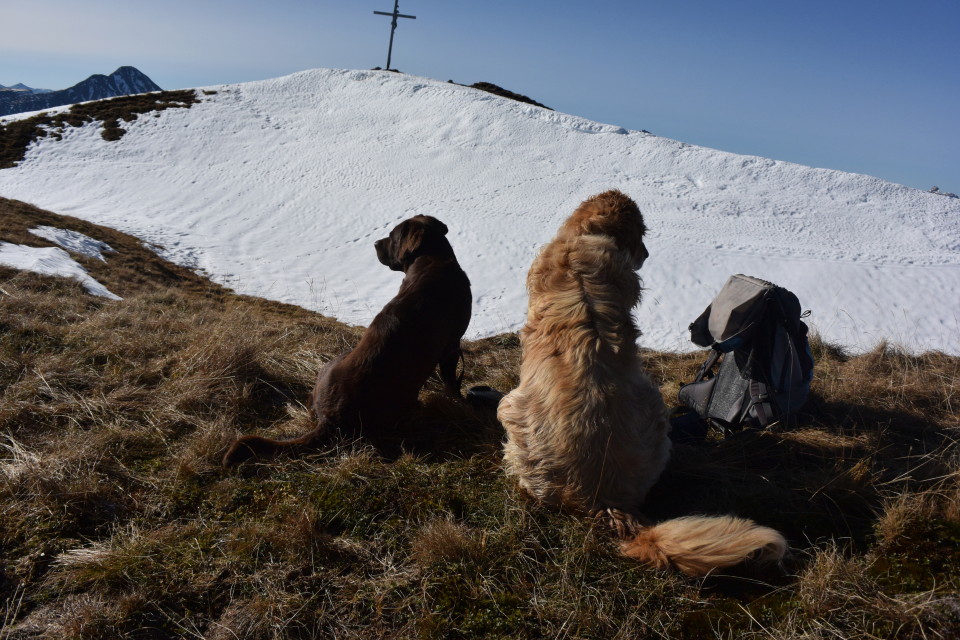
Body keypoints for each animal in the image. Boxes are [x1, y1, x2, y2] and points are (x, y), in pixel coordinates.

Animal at [221, 216, 468, 464]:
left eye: (391, 236)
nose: (375, 243)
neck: (433, 260)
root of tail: (331, 420)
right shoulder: (451, 346)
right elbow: (451, 382)